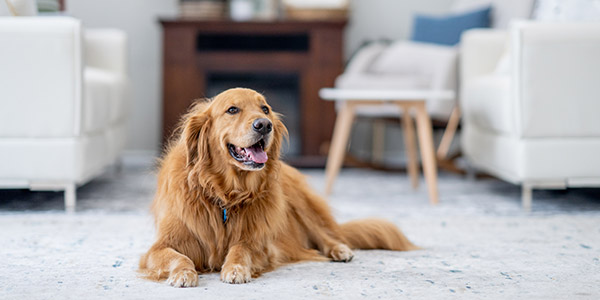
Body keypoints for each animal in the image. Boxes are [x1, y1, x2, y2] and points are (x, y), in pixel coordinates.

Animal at [140, 87, 418, 286]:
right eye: (232, 109)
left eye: (265, 108)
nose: (264, 124)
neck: (226, 194)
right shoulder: (160, 246)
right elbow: (178, 256)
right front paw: (183, 273)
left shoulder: (260, 244)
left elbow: (240, 249)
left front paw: (235, 268)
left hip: (302, 205)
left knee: (327, 235)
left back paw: (340, 250)